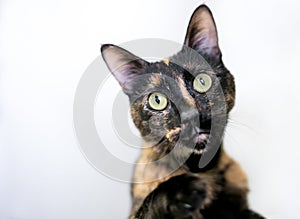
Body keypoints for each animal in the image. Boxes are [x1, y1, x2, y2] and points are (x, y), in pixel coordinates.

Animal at [101, 4, 264, 219]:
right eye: (157, 100)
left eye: (202, 81)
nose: (190, 115)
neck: (202, 169)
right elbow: (149, 203)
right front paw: (181, 190)